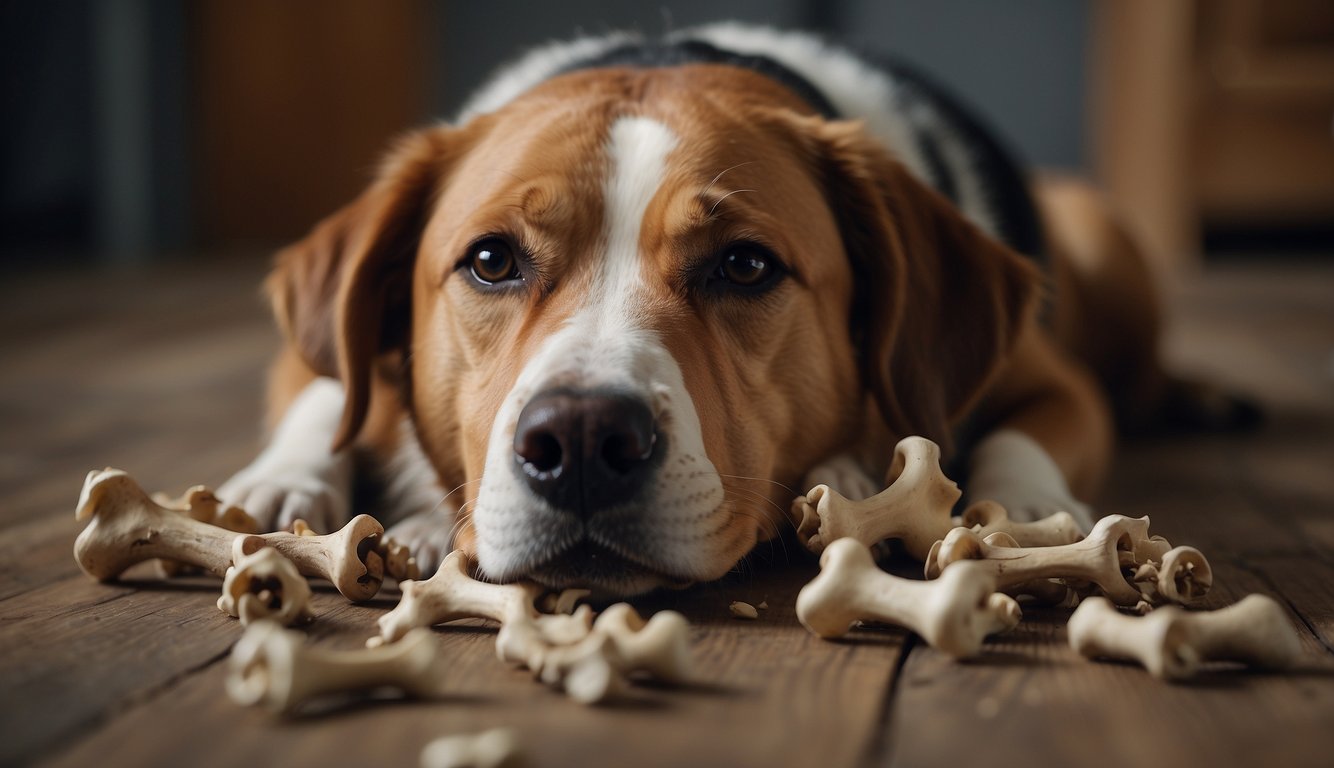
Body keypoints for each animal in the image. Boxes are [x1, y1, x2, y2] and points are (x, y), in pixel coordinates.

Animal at [221, 21, 1211, 594]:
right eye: (492, 260)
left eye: (744, 265)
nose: (581, 439)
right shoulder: (312, 348)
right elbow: (330, 392)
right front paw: (286, 482)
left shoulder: (1051, 379)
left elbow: (1021, 441)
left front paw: (1024, 513)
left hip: (1096, 226)